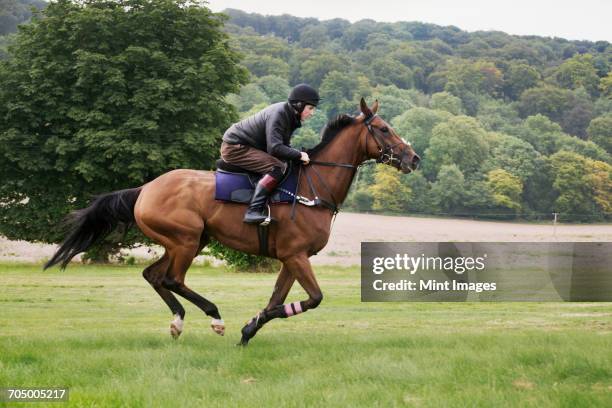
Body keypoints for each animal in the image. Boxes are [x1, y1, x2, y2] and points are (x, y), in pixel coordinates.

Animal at [45, 98, 420, 344]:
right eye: (384, 129)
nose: (414, 158)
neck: (314, 187)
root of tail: (146, 188)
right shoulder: (296, 256)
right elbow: (313, 299)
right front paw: (244, 326)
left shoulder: (291, 258)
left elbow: (277, 300)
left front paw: (249, 329)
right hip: (186, 239)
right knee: (172, 279)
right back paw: (214, 317)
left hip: (190, 241)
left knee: (154, 275)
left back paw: (178, 322)